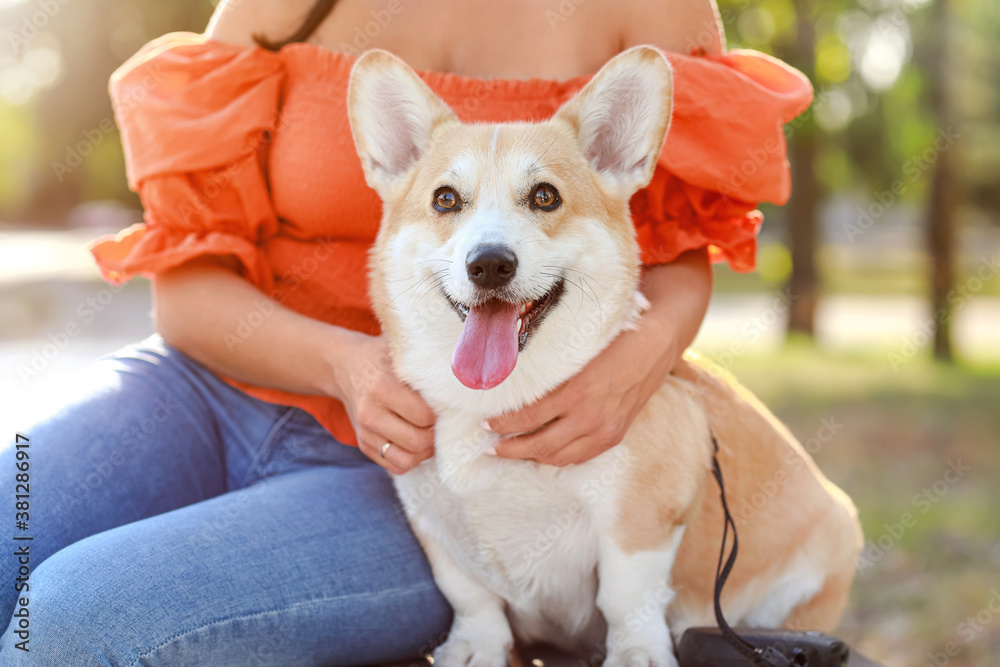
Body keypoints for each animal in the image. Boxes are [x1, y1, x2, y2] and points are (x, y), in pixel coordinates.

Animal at [348, 47, 864, 667]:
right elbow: (469, 593)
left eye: (545, 196)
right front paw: (475, 646)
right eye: (445, 199)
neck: (499, 399)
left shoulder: (642, 514)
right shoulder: (432, 521)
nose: (489, 263)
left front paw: (637, 652)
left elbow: (625, 595)